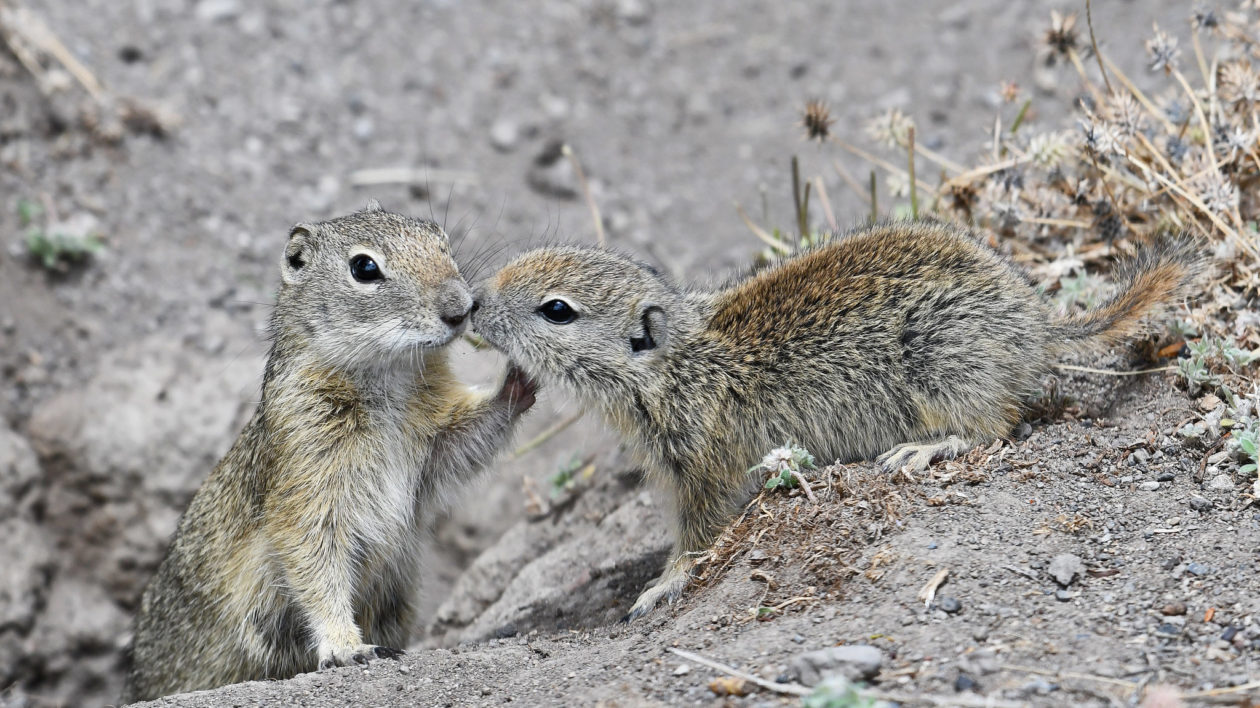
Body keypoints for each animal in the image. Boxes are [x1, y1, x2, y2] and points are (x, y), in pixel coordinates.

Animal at [125, 204, 539, 700]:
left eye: (441, 241)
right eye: (364, 268)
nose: (462, 308)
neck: (388, 378)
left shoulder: (436, 438)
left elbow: (468, 437)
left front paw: (521, 378)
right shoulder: (309, 480)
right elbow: (316, 567)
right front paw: (347, 647)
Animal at [468, 220, 1204, 617]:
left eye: (556, 310)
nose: (472, 306)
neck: (681, 364)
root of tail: (1037, 325)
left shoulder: (704, 467)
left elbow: (698, 538)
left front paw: (662, 585)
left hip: (944, 360)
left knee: (994, 424)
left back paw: (923, 449)